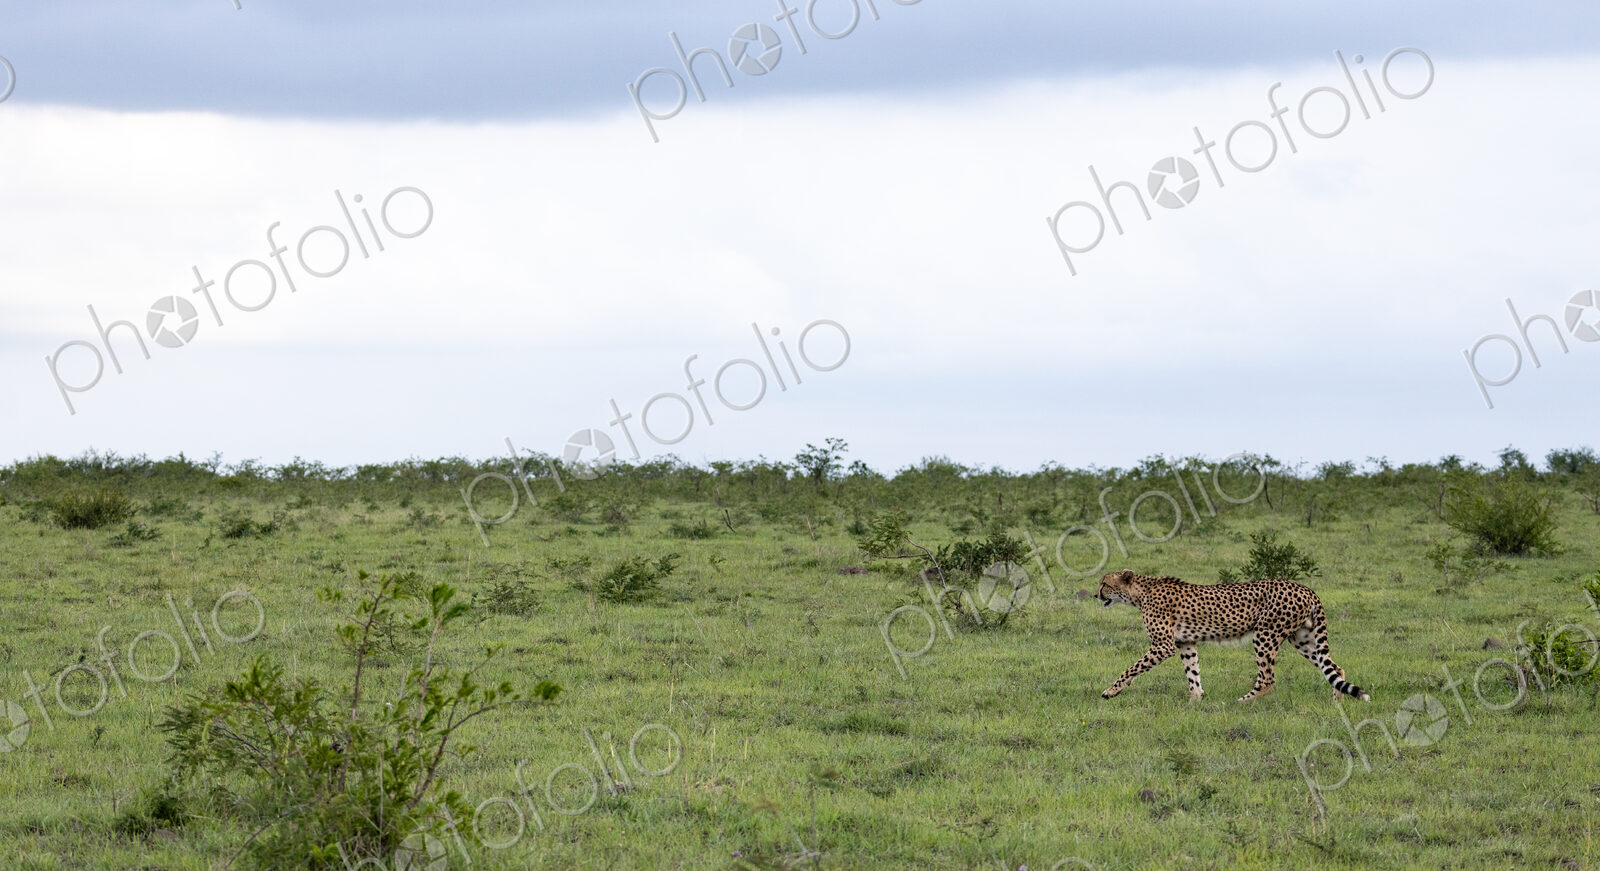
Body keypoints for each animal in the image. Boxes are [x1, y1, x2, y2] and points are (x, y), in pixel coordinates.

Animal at [1095, 569, 1369, 703]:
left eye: (1105, 584)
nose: (1096, 595)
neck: (1141, 593)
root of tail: (1305, 588)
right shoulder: (1186, 643)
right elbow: (1192, 672)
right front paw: (1195, 700)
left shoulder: (1164, 645)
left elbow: (1131, 669)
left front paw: (1111, 691)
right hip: (1302, 638)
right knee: (1335, 668)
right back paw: (1337, 702)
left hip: (1265, 634)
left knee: (1267, 679)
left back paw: (1242, 701)